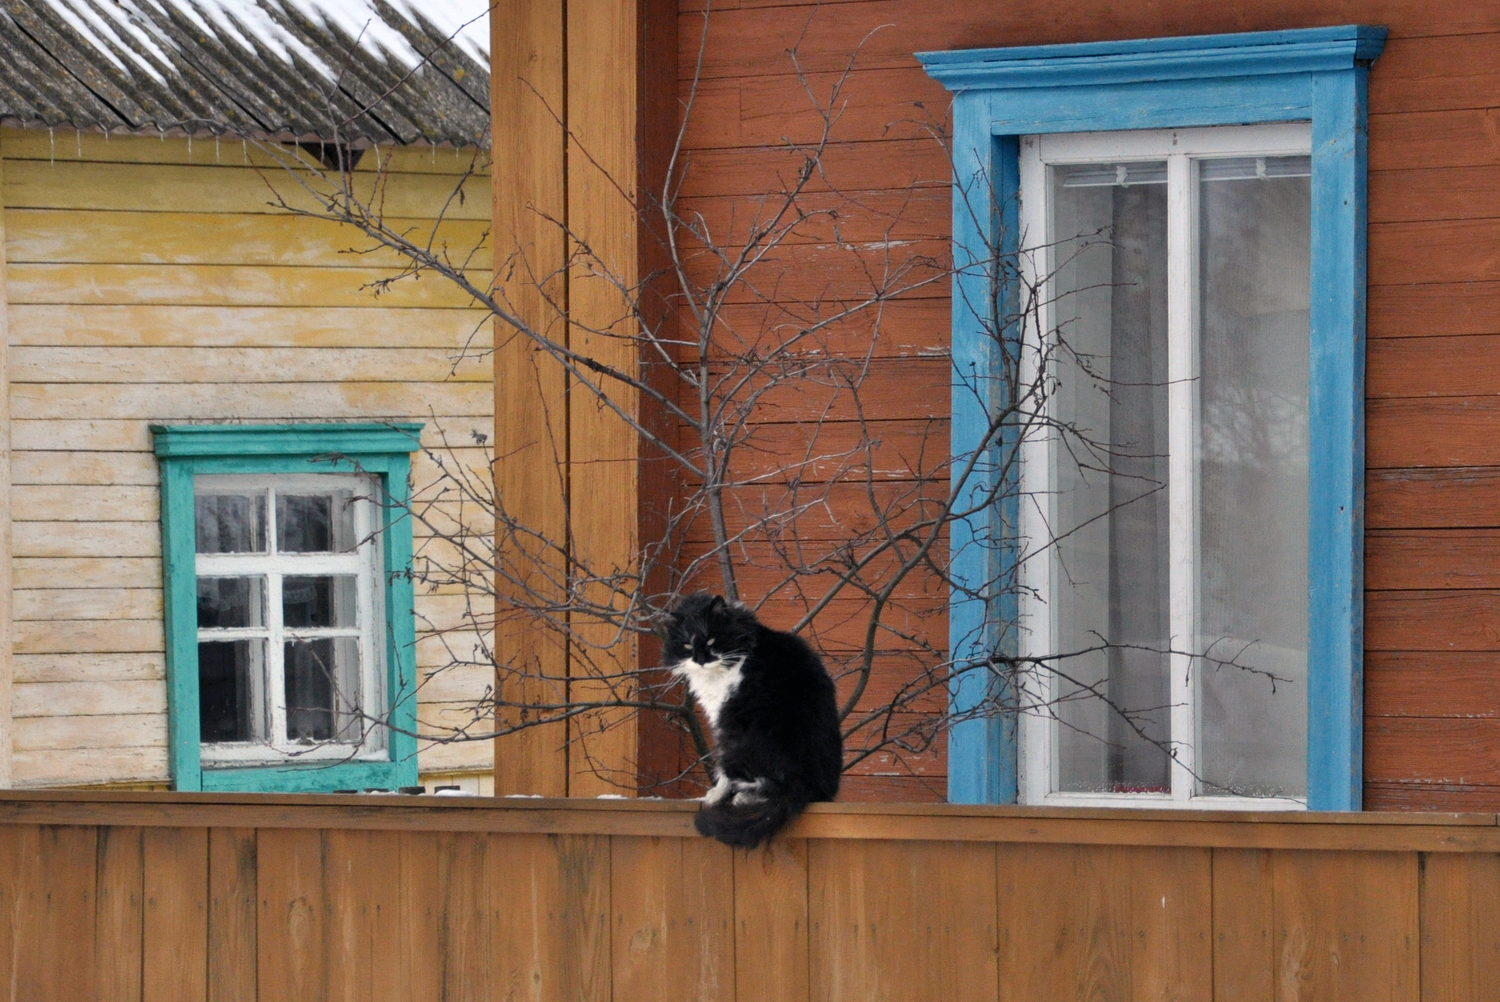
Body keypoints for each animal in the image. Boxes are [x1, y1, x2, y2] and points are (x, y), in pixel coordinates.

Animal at [669, 591, 846, 852]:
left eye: (711, 641)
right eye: (687, 646)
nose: (700, 660)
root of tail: (806, 786)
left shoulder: (723, 720)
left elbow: (722, 773)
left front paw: (715, 795)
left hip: (743, 742)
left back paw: (743, 797)